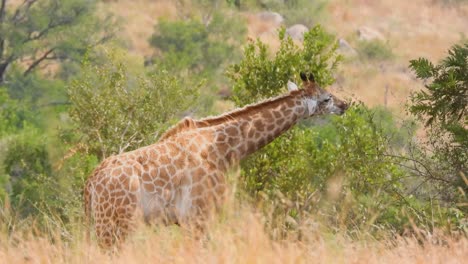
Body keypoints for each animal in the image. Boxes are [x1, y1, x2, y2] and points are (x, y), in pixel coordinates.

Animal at [83, 72, 348, 248]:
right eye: (326, 98)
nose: (345, 104)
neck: (223, 148)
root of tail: (91, 183)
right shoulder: (198, 216)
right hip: (115, 223)